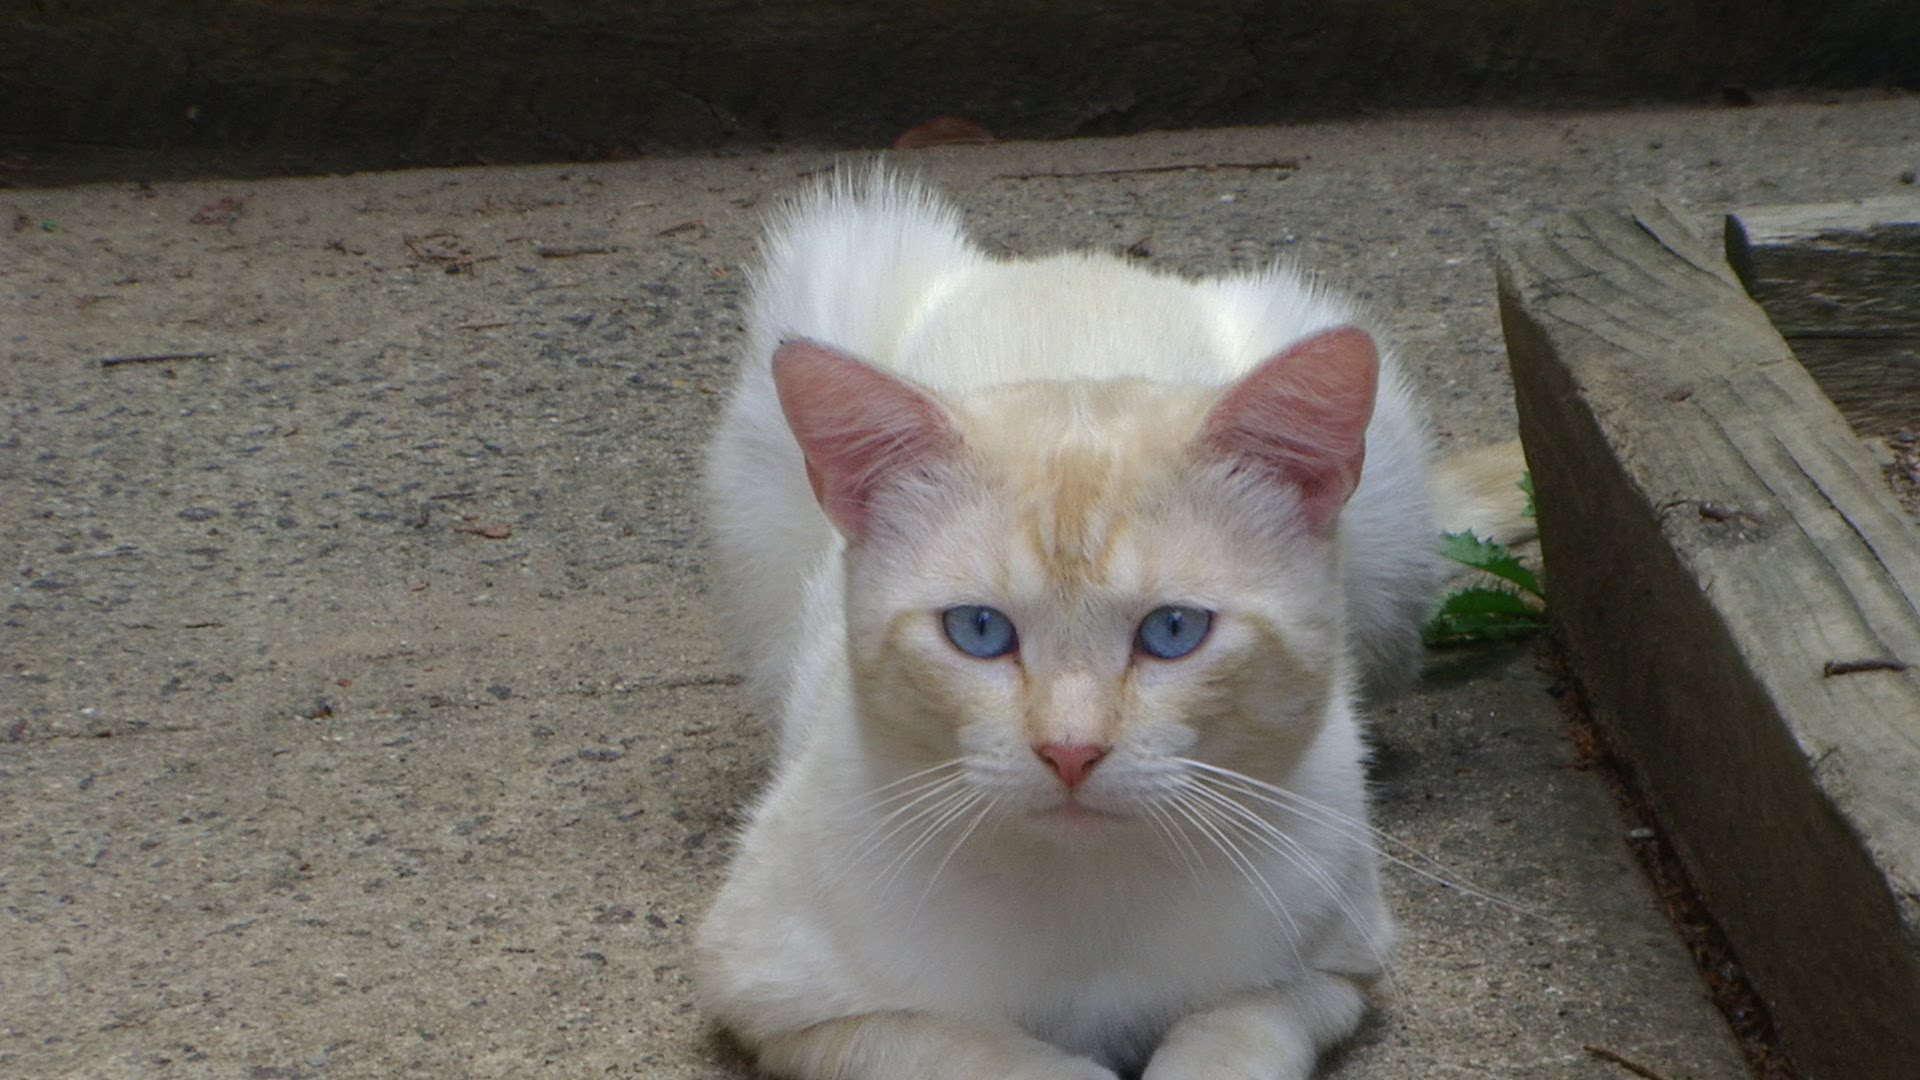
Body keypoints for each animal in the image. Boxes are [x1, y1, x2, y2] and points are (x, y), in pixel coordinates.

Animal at [698, 171, 1520, 1068]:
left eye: (1173, 632)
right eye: (978, 631)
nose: (1070, 751)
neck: (1088, 901)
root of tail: (1073, 261)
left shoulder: (1329, 975)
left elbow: (1228, 1040)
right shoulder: (789, 1000)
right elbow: (995, 1055)